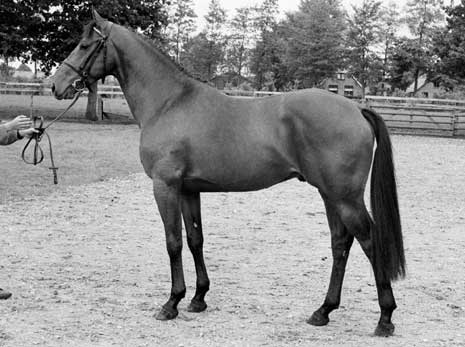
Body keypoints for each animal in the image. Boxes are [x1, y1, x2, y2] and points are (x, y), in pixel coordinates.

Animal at [50, 10, 404, 338]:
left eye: (84, 45)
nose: (56, 85)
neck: (169, 103)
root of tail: (356, 108)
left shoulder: (165, 186)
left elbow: (173, 242)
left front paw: (171, 303)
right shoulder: (189, 189)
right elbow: (195, 239)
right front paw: (198, 298)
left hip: (345, 197)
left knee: (369, 241)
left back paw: (385, 318)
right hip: (330, 195)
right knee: (340, 243)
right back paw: (323, 311)